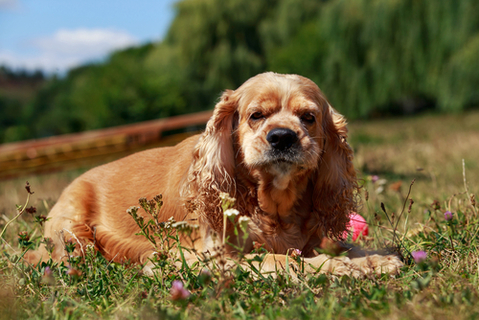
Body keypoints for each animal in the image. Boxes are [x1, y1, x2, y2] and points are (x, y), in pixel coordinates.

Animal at [25, 73, 402, 278]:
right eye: (256, 115)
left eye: (308, 118)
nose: (282, 136)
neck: (275, 205)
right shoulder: (203, 257)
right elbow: (280, 258)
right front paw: (338, 267)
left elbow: (347, 247)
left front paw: (376, 259)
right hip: (75, 232)